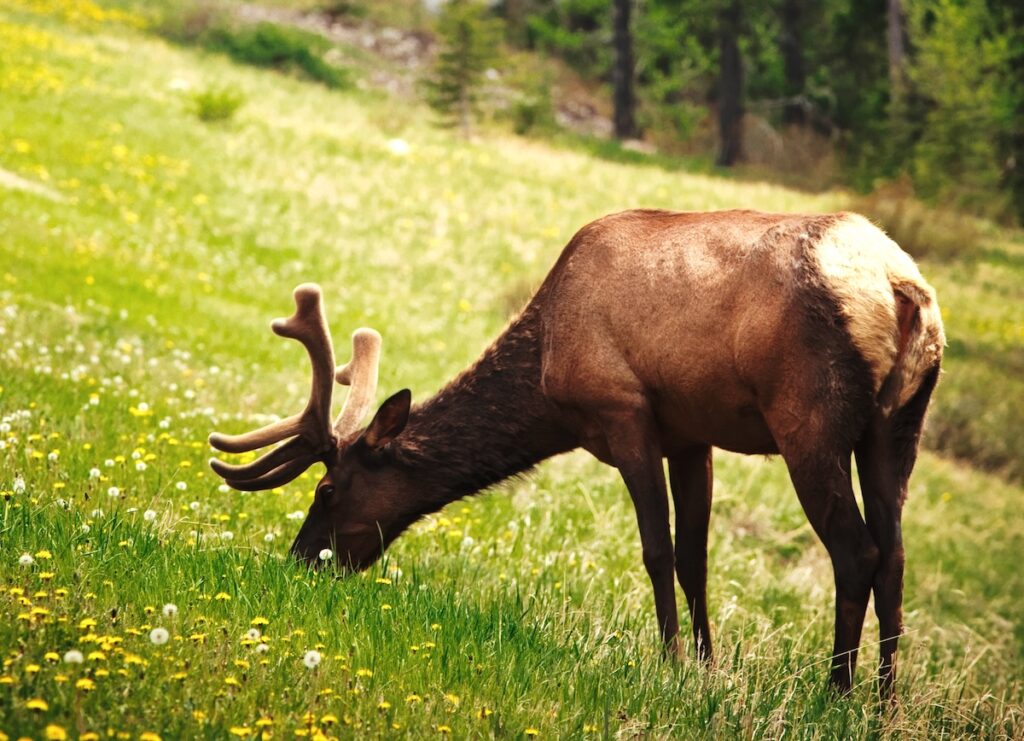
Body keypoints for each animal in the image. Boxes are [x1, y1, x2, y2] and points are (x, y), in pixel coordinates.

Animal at [209, 209, 944, 699]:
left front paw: (670, 665)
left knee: (857, 551)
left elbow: (657, 552)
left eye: (327, 490)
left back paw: (837, 692)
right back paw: (884, 702)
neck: (547, 378)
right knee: (896, 554)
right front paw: (706, 668)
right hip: (897, 428)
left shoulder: (624, 412)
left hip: (809, 420)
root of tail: (900, 289)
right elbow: (696, 558)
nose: (301, 559)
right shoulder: (691, 432)